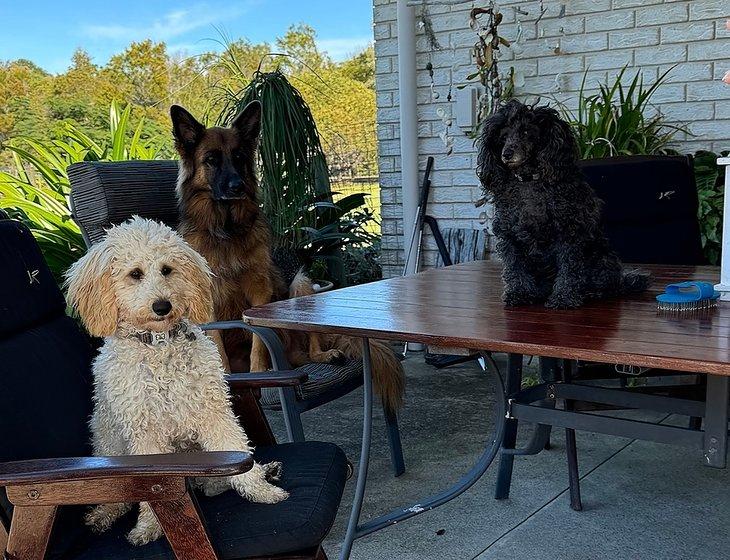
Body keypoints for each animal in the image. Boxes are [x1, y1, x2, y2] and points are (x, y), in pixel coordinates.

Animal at [65, 217, 286, 544]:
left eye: (167, 269)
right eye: (135, 274)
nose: (162, 306)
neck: (160, 347)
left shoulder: (213, 412)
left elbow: (235, 446)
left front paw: (261, 490)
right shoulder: (145, 434)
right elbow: (150, 488)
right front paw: (148, 525)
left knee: (211, 484)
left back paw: (263, 470)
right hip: (110, 447)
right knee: (119, 500)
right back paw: (101, 515)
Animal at [171, 103, 404, 412]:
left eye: (239, 157)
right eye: (211, 160)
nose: (238, 187)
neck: (227, 229)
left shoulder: (260, 292)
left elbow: (258, 341)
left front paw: (258, 374)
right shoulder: (207, 300)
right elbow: (217, 342)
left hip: (302, 285)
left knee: (311, 347)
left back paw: (324, 356)